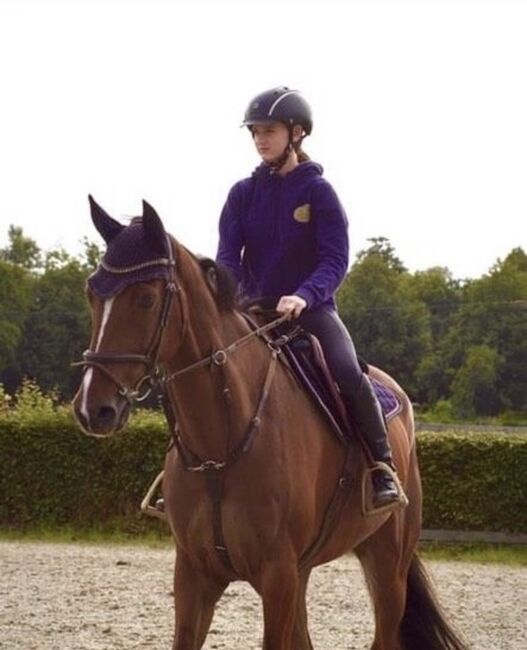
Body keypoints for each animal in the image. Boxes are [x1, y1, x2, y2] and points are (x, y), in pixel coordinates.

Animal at [72, 197, 468, 648]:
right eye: (91, 291)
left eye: (146, 298)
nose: (93, 408)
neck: (220, 446)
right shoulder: (195, 576)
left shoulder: (277, 578)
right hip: (308, 570)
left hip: (387, 567)